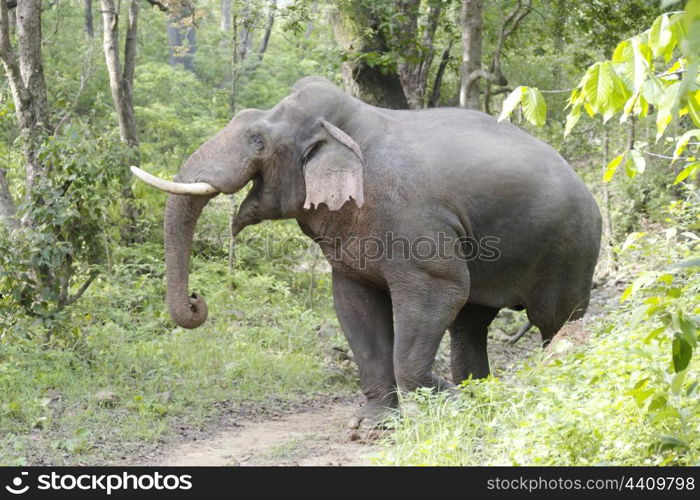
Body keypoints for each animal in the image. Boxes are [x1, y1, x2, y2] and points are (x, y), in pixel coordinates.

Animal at [131, 77, 600, 430]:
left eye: (257, 139)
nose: (196, 300)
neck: (346, 124)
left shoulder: (416, 222)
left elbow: (440, 290)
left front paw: (440, 404)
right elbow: (354, 303)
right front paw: (371, 424)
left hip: (572, 250)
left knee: (554, 322)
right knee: (471, 322)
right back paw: (479, 393)